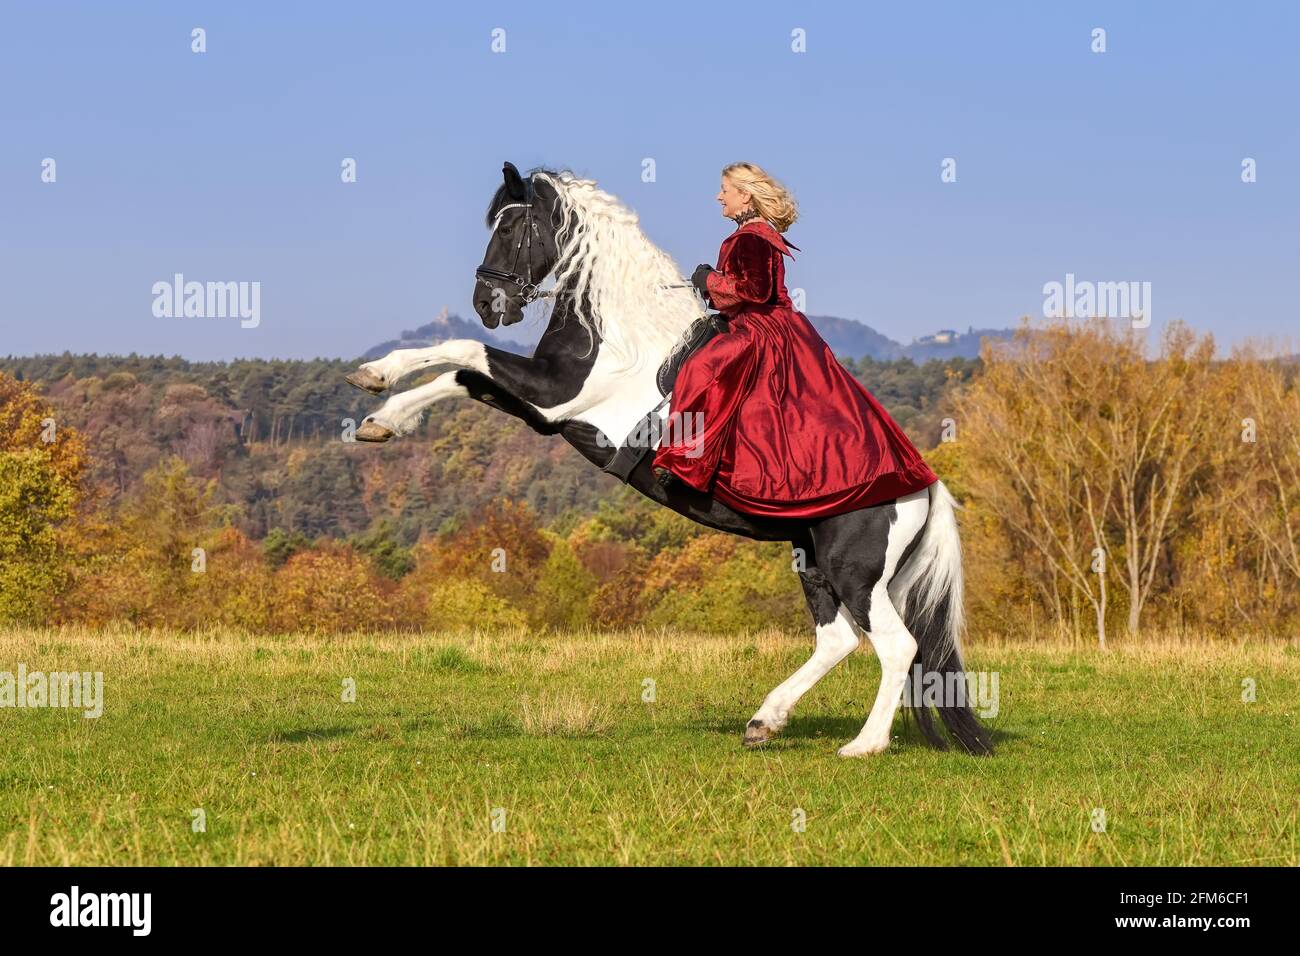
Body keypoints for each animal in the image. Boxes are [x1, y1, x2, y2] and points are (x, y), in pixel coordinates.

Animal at [340, 166, 987, 764]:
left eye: (512, 224)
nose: (485, 304)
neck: (619, 333)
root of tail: (926, 485)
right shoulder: (545, 408)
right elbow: (461, 370)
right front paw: (379, 403)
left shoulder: (553, 401)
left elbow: (463, 355)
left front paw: (379, 394)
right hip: (811, 557)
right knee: (838, 639)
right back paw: (764, 721)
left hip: (854, 568)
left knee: (896, 646)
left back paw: (863, 746)